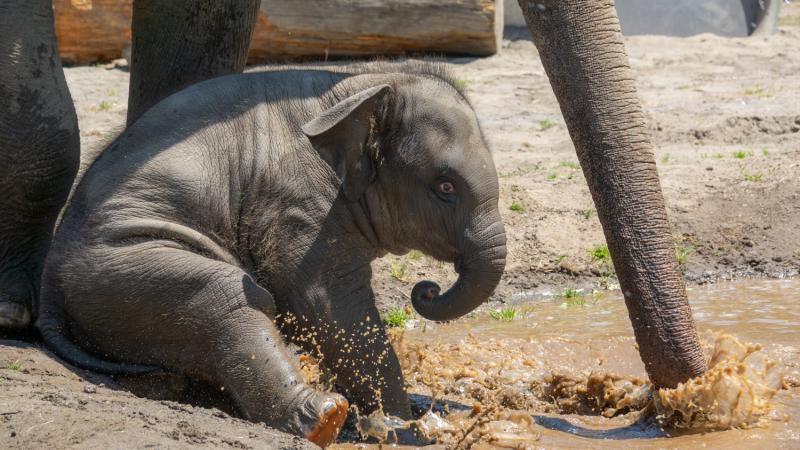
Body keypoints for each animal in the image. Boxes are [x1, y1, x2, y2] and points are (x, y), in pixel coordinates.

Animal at [0, 0, 708, 445]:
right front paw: (405, 424)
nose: (426, 289)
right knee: (224, 296)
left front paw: (414, 414)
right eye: (445, 187)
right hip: (117, 266)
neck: (356, 86)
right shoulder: (296, 205)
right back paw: (327, 419)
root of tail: (55, 299)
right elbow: (324, 296)